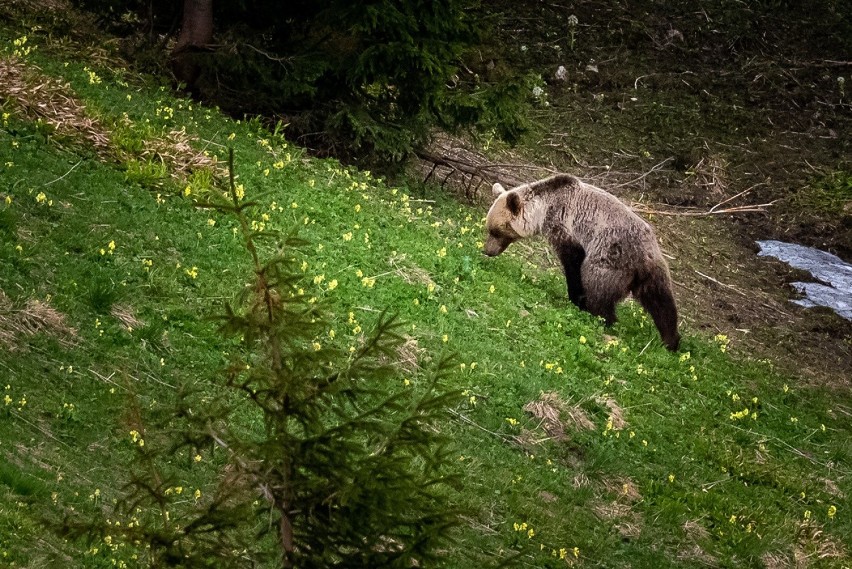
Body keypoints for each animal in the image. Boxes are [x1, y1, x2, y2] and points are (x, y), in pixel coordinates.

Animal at [486, 173, 680, 350]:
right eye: (489, 229)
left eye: (496, 231)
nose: (487, 251)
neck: (543, 208)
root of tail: (642, 260)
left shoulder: (564, 224)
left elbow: (573, 262)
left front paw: (576, 297)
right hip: (655, 269)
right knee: (662, 303)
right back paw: (671, 341)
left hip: (611, 258)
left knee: (599, 290)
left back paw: (601, 318)